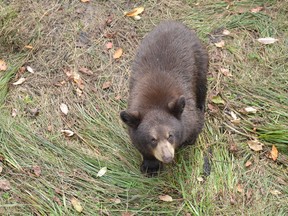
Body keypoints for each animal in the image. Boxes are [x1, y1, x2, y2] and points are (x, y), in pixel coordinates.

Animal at [119, 20, 207, 176]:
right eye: (152, 139)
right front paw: (150, 166)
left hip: (200, 58)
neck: (154, 104)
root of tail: (173, 22)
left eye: (170, 135)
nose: (167, 157)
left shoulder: (189, 118)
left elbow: (194, 127)